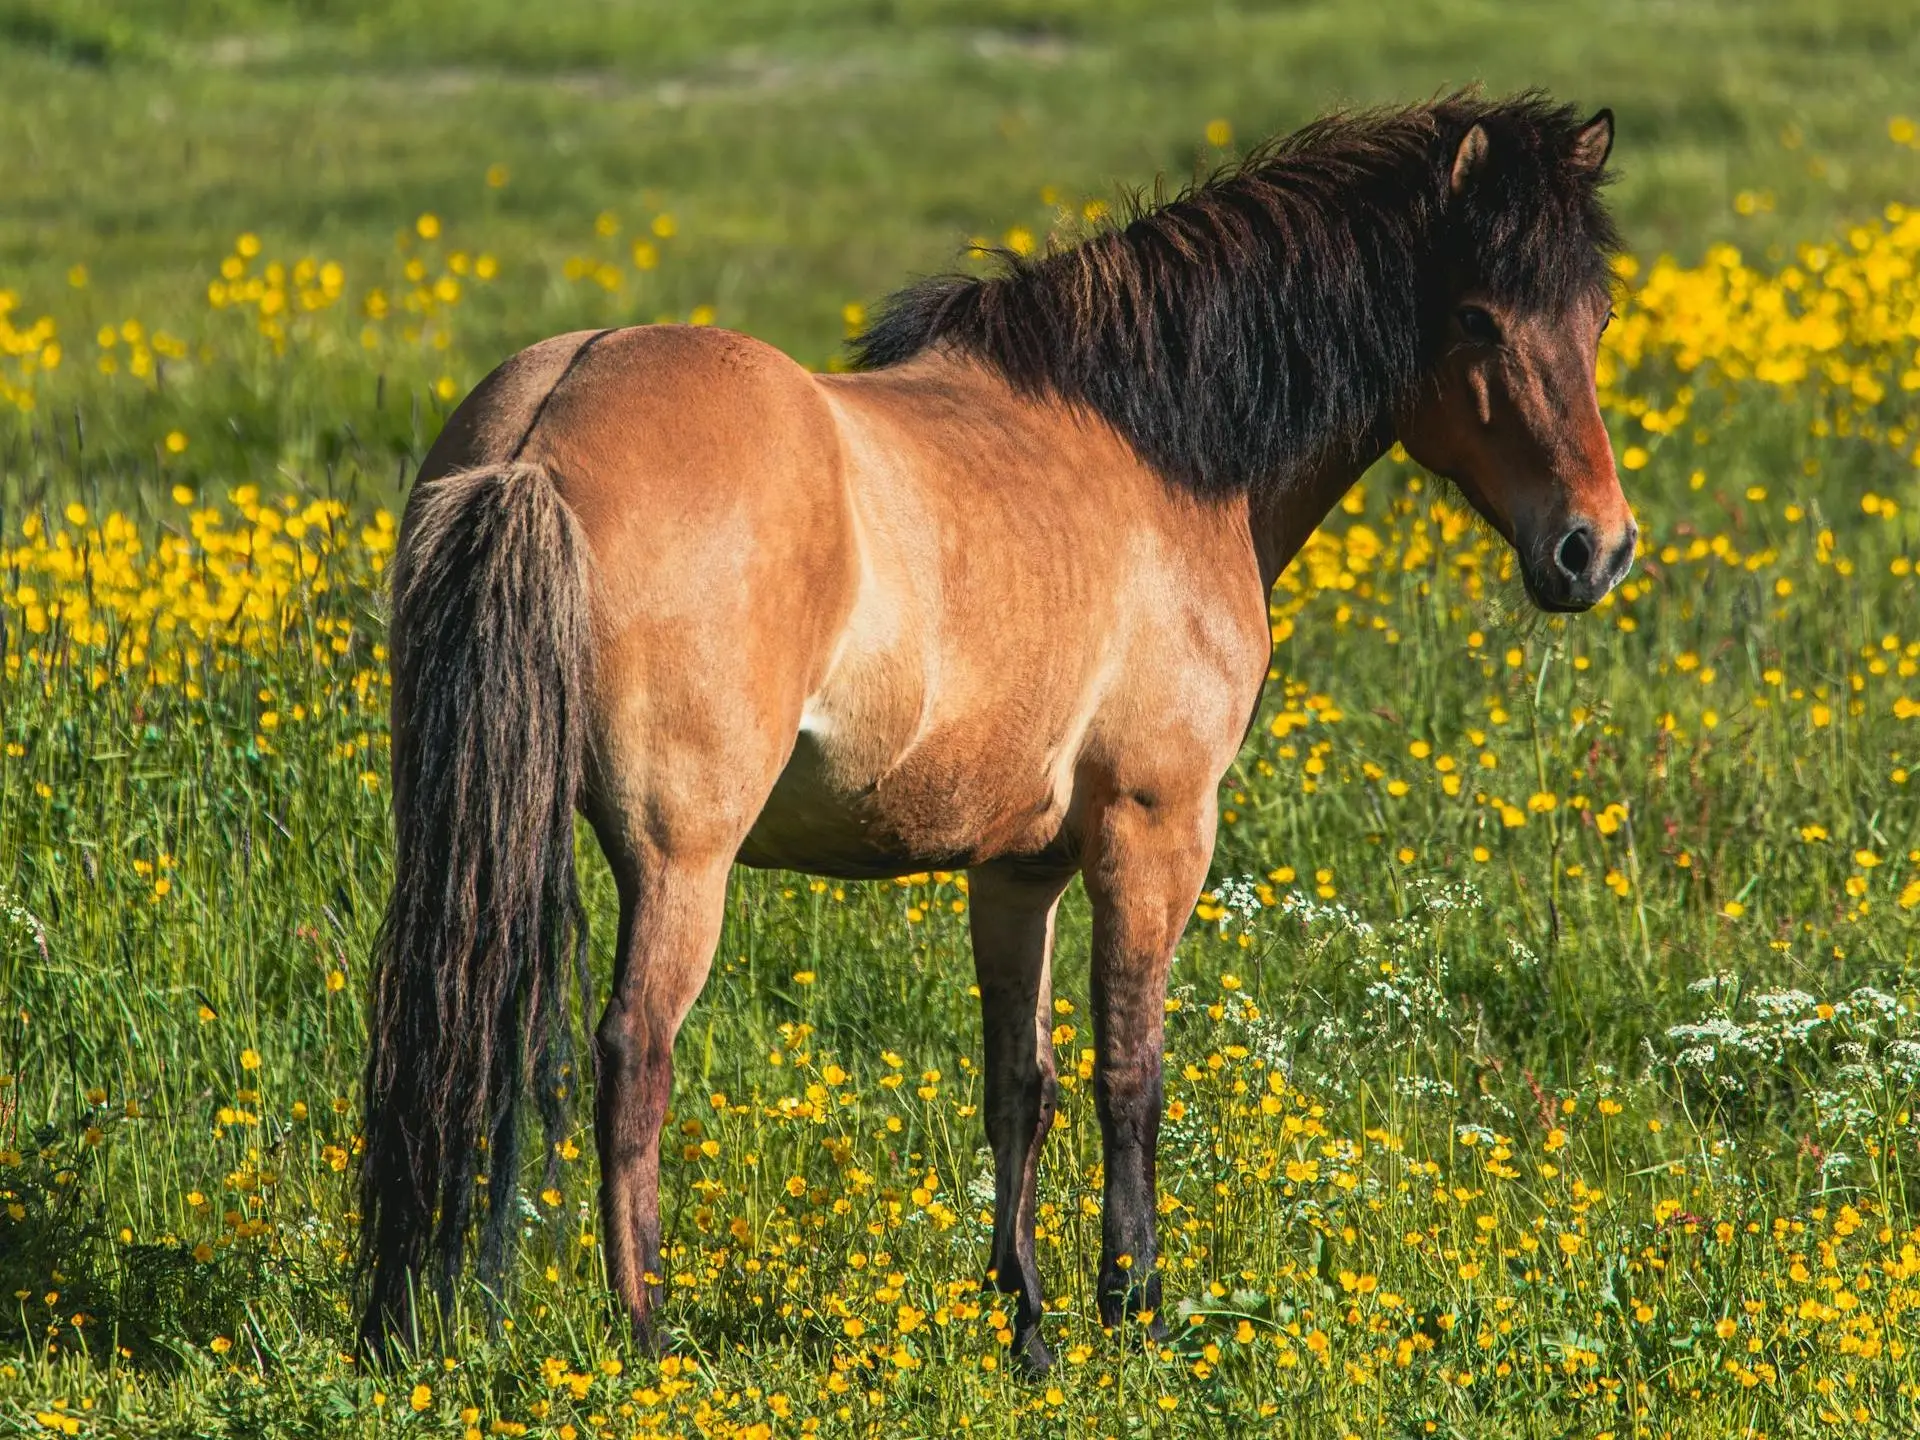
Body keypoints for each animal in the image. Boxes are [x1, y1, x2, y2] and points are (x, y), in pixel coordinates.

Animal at [357, 93, 1635, 1374]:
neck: (1156, 449)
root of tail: (541, 431)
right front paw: (1134, 1305)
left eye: (1599, 317)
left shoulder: (1019, 868)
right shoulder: (1155, 831)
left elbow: (1022, 1079)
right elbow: (1132, 1075)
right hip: (683, 859)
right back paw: (651, 1336)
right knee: (634, 1055)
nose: (1596, 550)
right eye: (1476, 317)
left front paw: (1023, 1317)